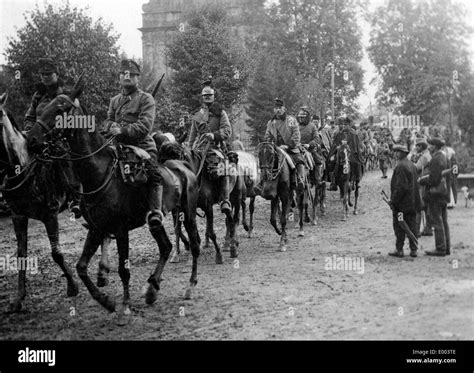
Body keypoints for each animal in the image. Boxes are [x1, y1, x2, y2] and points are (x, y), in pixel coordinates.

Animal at [0, 91, 79, 312]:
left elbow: (57, 253)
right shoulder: (18, 216)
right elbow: (21, 255)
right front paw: (18, 298)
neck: (23, 168)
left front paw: (73, 286)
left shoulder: (50, 215)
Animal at [26, 81, 200, 322]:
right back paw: (152, 289)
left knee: (195, 245)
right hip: (157, 221)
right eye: (45, 106)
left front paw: (125, 305)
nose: (31, 138)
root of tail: (184, 168)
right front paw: (106, 301)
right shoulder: (97, 229)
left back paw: (190, 287)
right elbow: (81, 267)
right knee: (165, 246)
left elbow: (123, 270)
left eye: (61, 109)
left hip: (188, 214)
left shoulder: (120, 230)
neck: (99, 174)